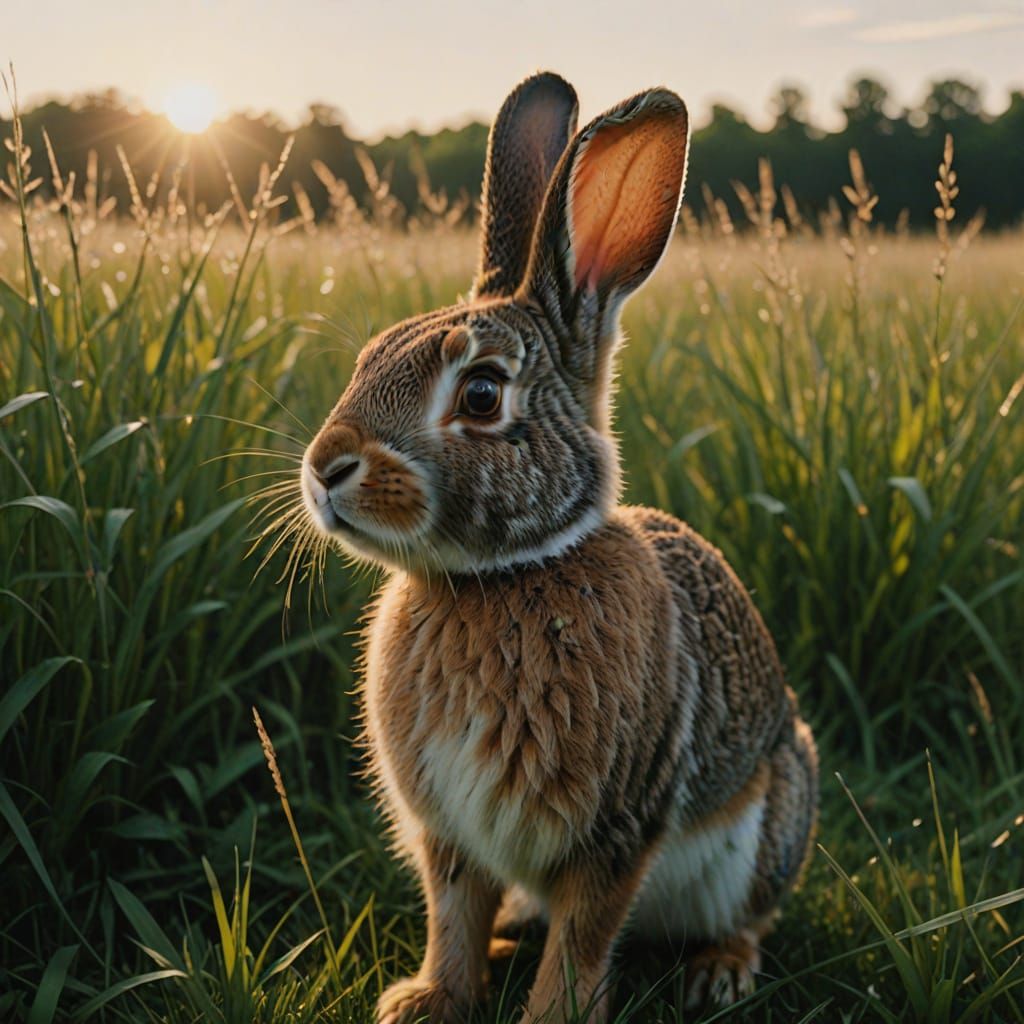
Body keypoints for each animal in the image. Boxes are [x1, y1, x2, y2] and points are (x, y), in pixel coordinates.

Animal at [300, 71, 818, 1024]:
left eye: (481, 393)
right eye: (369, 357)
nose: (324, 470)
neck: (499, 578)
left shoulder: (617, 828)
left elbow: (583, 937)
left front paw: (549, 1015)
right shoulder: (450, 831)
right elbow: (454, 912)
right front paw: (430, 999)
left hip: (772, 825)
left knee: (752, 916)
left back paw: (720, 970)